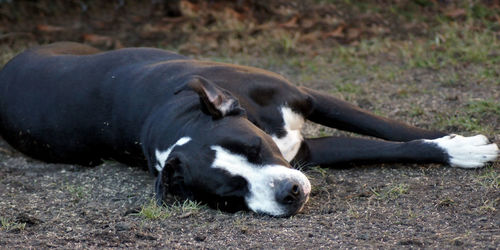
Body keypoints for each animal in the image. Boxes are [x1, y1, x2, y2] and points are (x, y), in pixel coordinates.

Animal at [0, 42, 498, 216]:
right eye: (230, 193)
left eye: (255, 149)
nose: (288, 194)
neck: (177, 116)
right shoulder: (308, 155)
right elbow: (386, 147)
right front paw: (461, 149)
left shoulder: (308, 98)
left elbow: (386, 127)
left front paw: (461, 144)